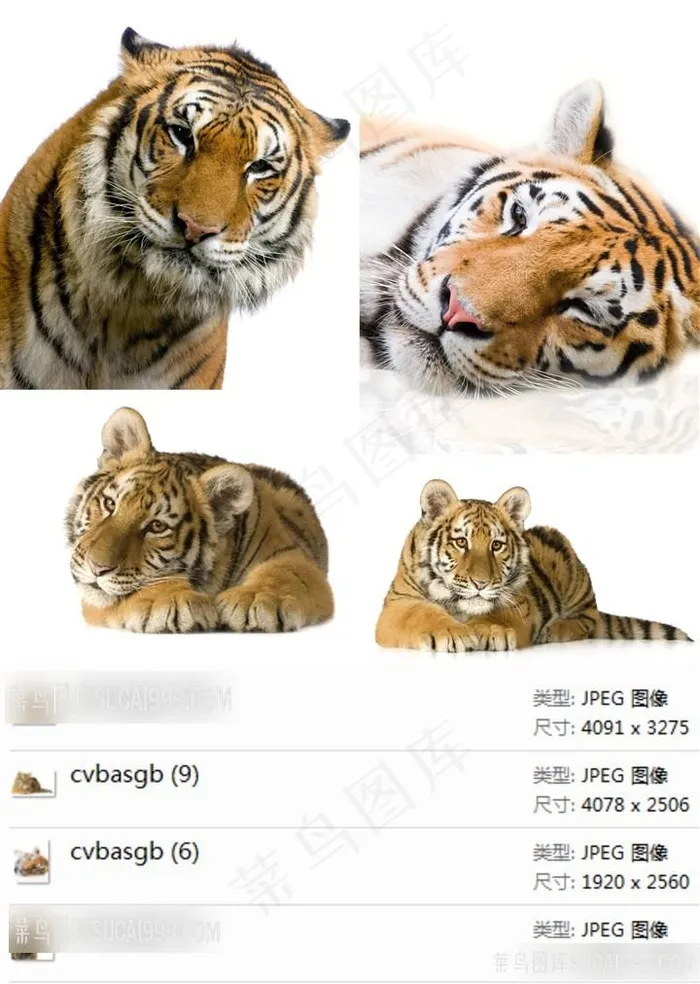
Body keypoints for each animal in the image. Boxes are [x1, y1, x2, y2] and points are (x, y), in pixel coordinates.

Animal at [65, 407, 333, 633]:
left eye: (157, 526)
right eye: (110, 504)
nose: (96, 568)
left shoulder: (291, 554)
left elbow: (285, 573)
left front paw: (255, 599)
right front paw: (173, 600)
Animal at [376, 480, 691, 652]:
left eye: (496, 545)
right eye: (461, 542)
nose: (481, 584)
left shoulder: (519, 603)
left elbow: (496, 615)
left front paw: (489, 631)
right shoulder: (398, 603)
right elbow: (422, 614)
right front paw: (452, 633)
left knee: (588, 619)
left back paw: (556, 629)